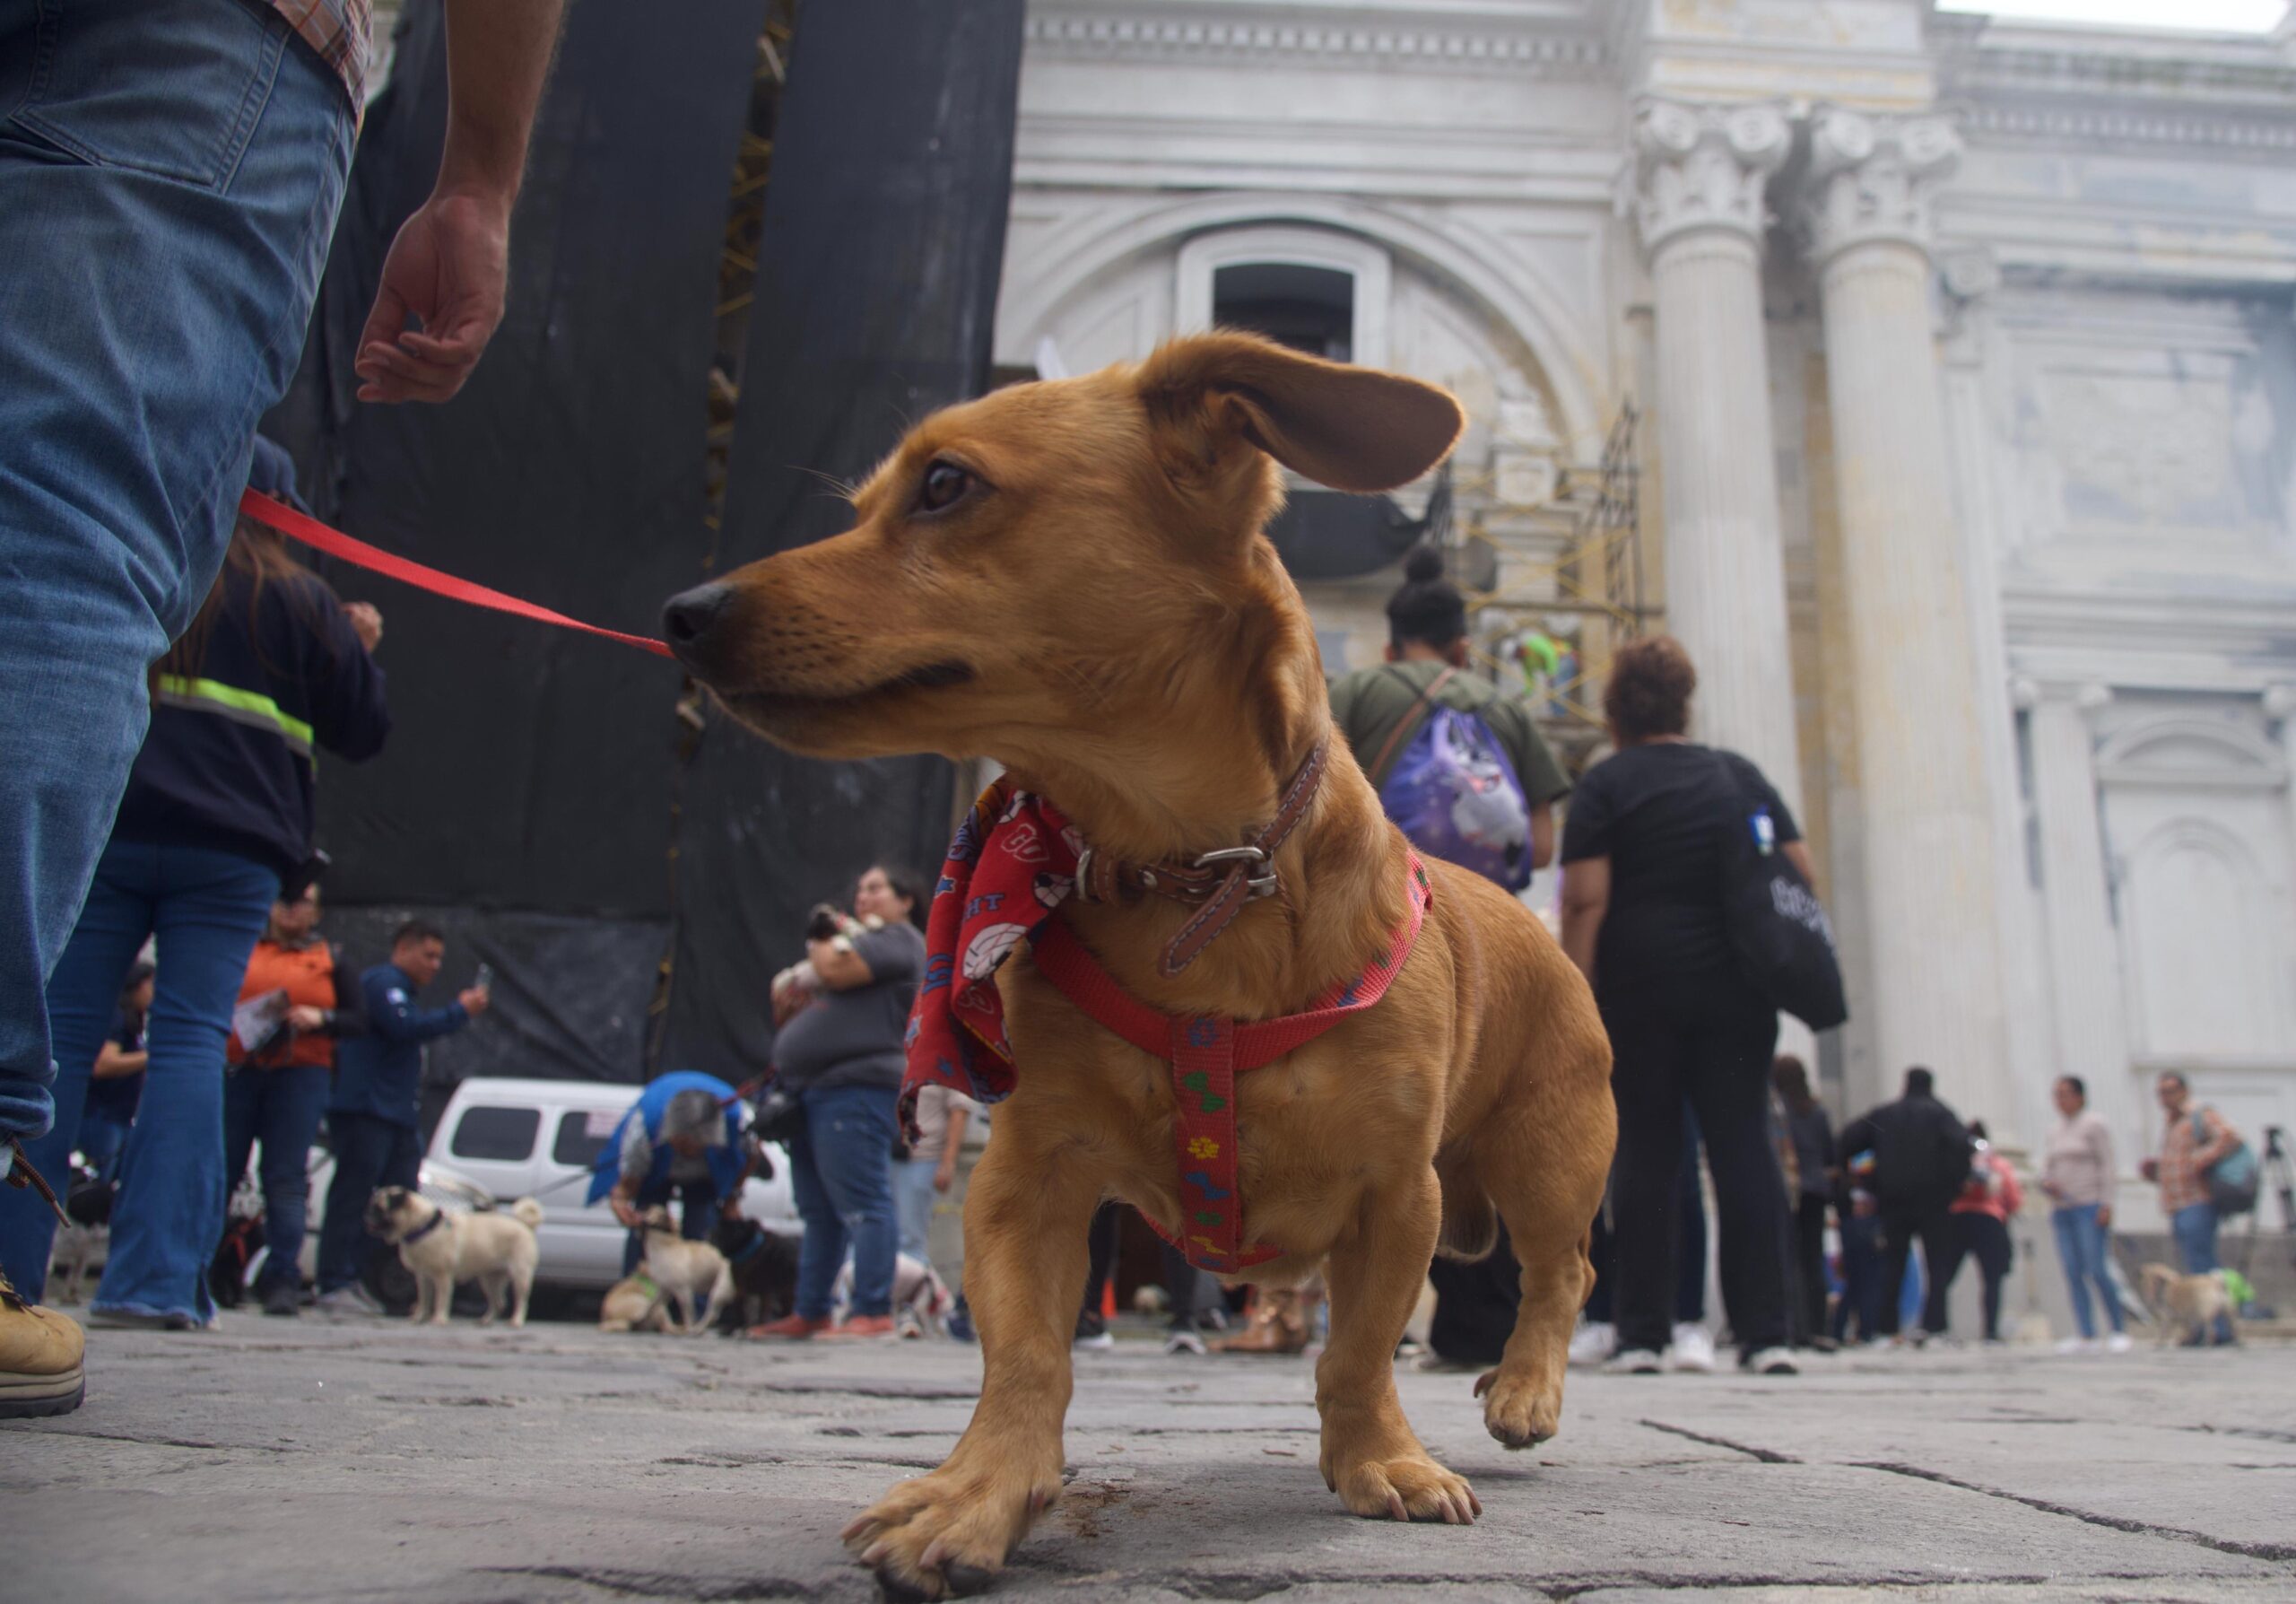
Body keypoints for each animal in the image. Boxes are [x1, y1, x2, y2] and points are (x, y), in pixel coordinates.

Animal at [367, 1185, 546, 1323]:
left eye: (380, 1209)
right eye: (373, 1207)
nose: (366, 1215)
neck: (424, 1226)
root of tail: (525, 1226)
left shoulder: (443, 1276)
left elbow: (441, 1299)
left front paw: (439, 1319)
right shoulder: (423, 1277)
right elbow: (424, 1299)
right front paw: (419, 1317)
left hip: (520, 1275)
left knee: (522, 1300)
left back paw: (516, 1321)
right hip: (489, 1279)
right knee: (499, 1302)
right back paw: (487, 1320)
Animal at [665, 330, 1616, 1590]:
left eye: (945, 485)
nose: (681, 610)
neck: (1195, 872)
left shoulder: (1393, 1198)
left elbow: (1358, 1355)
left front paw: (1379, 1461)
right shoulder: (1024, 1182)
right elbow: (1028, 1356)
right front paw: (979, 1495)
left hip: (1552, 1155)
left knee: (1562, 1273)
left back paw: (1523, 1389)